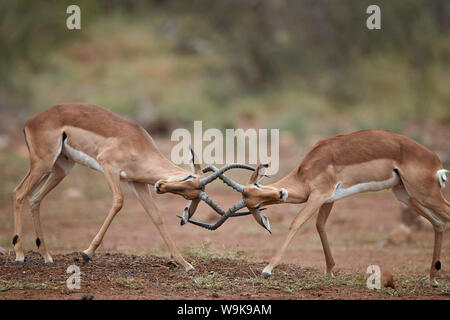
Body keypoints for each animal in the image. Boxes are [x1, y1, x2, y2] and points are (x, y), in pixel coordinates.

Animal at [13, 103, 253, 270]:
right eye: (187, 179)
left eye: (188, 196)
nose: (161, 186)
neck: (138, 145)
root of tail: (31, 121)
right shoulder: (109, 167)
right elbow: (118, 202)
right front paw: (86, 253)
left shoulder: (138, 184)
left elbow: (157, 217)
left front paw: (186, 265)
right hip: (43, 163)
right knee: (18, 193)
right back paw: (19, 256)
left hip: (61, 168)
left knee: (35, 198)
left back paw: (47, 257)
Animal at [183, 129, 450, 284]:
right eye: (251, 200)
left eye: (257, 186)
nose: (280, 192)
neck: (307, 170)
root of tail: (435, 161)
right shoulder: (327, 199)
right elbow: (320, 226)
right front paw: (330, 270)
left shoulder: (319, 195)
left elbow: (296, 223)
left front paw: (267, 270)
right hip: (406, 195)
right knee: (438, 223)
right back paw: (432, 278)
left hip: (424, 193)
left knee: (444, 217)